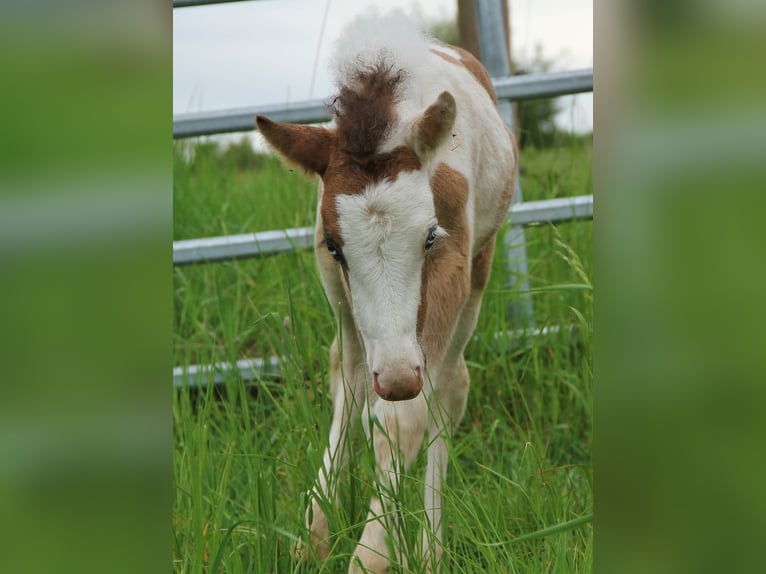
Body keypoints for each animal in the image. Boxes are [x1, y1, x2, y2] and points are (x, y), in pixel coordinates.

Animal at [256, 14, 517, 573]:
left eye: (430, 237)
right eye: (335, 246)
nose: (396, 377)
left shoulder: (454, 261)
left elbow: (406, 414)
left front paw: (374, 553)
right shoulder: (336, 283)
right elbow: (358, 391)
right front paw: (313, 537)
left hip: (478, 274)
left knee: (449, 388)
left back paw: (430, 550)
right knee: (351, 374)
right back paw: (317, 532)